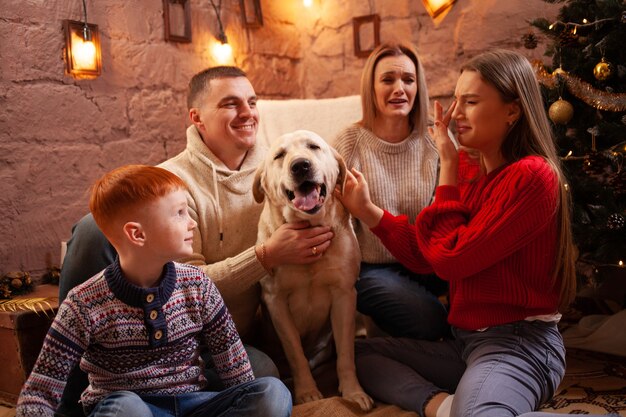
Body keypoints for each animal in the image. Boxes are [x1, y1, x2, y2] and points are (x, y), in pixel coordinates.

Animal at [252, 130, 372, 410]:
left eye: (313, 147)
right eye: (279, 155)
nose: (300, 165)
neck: (308, 227)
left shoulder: (344, 295)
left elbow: (346, 353)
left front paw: (353, 392)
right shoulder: (275, 301)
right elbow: (295, 352)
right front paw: (307, 392)